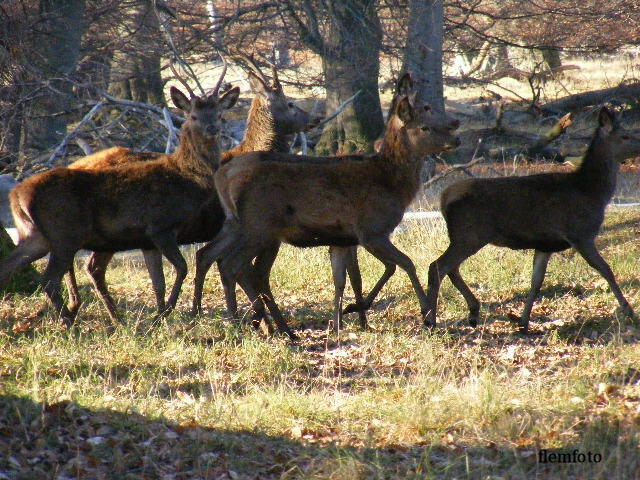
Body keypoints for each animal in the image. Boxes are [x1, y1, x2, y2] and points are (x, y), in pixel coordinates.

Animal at [61, 60, 312, 322]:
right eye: (290, 103)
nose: (313, 117)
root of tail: (76, 164)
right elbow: (245, 271)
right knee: (87, 264)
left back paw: (88, 312)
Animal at [190, 73, 460, 340]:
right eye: (425, 123)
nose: (455, 132)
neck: (392, 184)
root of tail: (222, 175)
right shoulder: (371, 230)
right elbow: (404, 264)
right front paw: (427, 315)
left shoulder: (342, 239)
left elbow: (342, 279)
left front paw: (341, 322)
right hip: (259, 228)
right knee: (234, 265)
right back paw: (243, 325)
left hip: (239, 226)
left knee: (218, 258)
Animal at [424, 107, 640, 334]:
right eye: (625, 136)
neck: (592, 192)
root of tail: (443, 198)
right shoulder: (580, 233)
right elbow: (606, 270)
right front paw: (630, 312)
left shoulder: (545, 245)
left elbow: (536, 282)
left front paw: (523, 322)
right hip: (469, 235)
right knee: (438, 267)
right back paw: (431, 320)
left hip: (465, 237)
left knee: (451, 268)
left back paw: (472, 312)